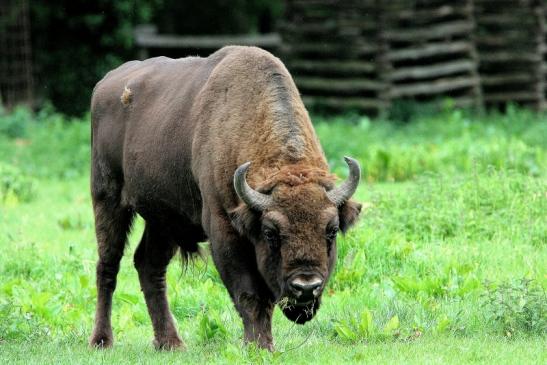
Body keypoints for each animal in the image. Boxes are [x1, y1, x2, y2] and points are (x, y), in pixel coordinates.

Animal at [89, 45, 364, 350]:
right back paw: (102, 340)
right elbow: (249, 293)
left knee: (149, 266)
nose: (306, 286)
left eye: (332, 230)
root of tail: (106, 83)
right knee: (108, 266)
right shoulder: (223, 229)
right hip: (107, 199)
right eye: (270, 232)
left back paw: (170, 343)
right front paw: (258, 346)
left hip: (164, 219)